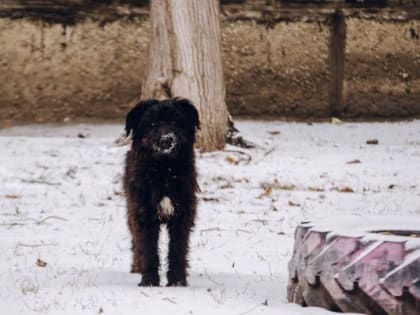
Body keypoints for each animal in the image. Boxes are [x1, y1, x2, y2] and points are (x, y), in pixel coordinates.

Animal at [123, 97, 200, 288]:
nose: (166, 140)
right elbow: (147, 248)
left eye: (174, 122)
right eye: (151, 123)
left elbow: (177, 249)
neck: (165, 171)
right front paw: (149, 280)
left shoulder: (182, 217)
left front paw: (178, 281)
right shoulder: (143, 216)